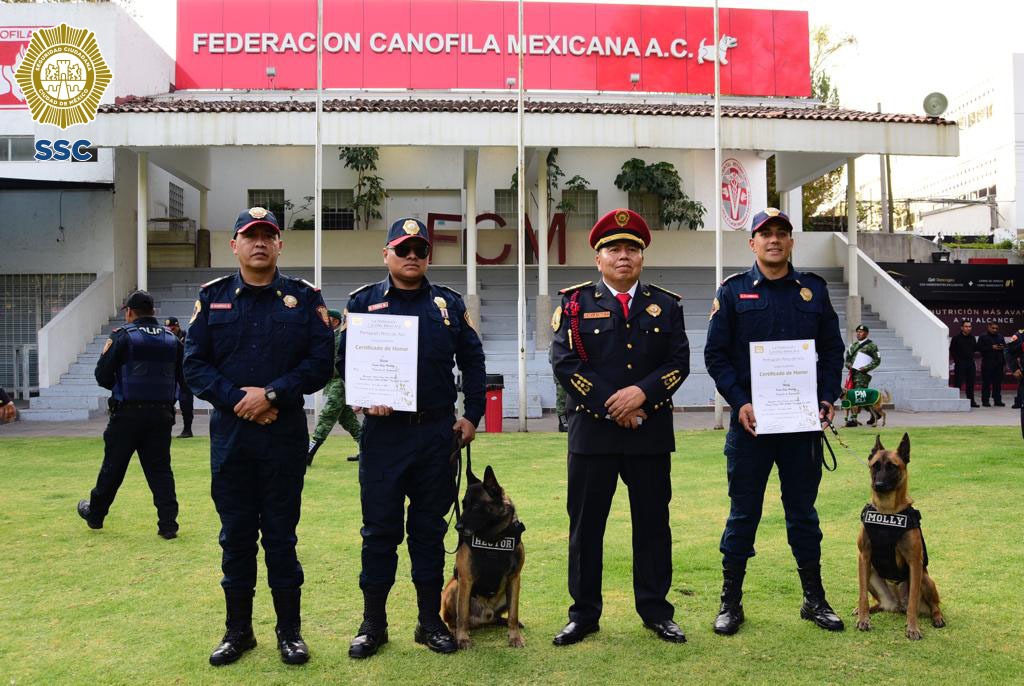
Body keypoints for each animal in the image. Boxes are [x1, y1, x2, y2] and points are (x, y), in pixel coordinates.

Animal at [440, 462, 524, 651]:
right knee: (454, 620)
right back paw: (455, 631)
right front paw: (463, 638)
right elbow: (462, 615)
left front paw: (515, 636)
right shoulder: (465, 579)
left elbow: (513, 614)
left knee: (499, 617)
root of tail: (483, 618)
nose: (457, 527)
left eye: (476, 506)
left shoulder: (515, 578)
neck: (493, 539)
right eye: (463, 505)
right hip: (454, 587)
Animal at [851, 436, 946, 638]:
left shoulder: (915, 561)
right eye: (875, 466)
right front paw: (863, 619)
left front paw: (913, 628)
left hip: (925, 578)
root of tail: (896, 604)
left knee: (932, 605)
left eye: (892, 467)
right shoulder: (864, 556)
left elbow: (913, 603)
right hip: (871, 573)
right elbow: (862, 596)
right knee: (879, 603)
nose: (878, 485)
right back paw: (867, 610)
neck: (887, 511)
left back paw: (937, 618)